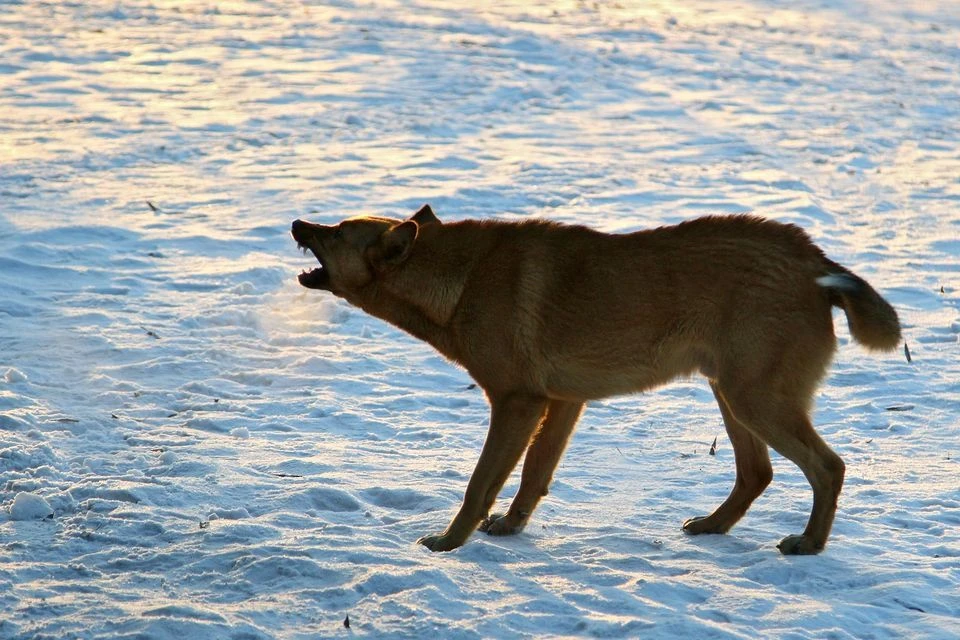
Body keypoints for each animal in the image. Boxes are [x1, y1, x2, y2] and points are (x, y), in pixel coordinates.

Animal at [290, 206, 900, 556]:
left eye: (336, 233)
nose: (295, 223)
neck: (458, 281)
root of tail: (816, 263)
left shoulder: (517, 402)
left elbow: (480, 484)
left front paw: (448, 543)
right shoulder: (561, 401)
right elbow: (534, 476)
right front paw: (509, 530)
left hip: (755, 399)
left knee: (828, 467)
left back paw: (810, 544)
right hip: (732, 393)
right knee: (758, 473)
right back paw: (713, 526)